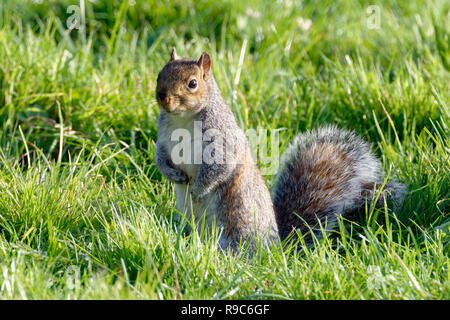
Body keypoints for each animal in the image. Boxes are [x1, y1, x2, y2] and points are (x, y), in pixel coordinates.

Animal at [154, 48, 404, 251]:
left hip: (237, 217)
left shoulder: (222, 138)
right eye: (159, 74)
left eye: (192, 83)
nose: (163, 98)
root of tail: (277, 249)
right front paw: (173, 174)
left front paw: (198, 190)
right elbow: (161, 157)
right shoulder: (164, 138)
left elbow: (219, 167)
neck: (184, 118)